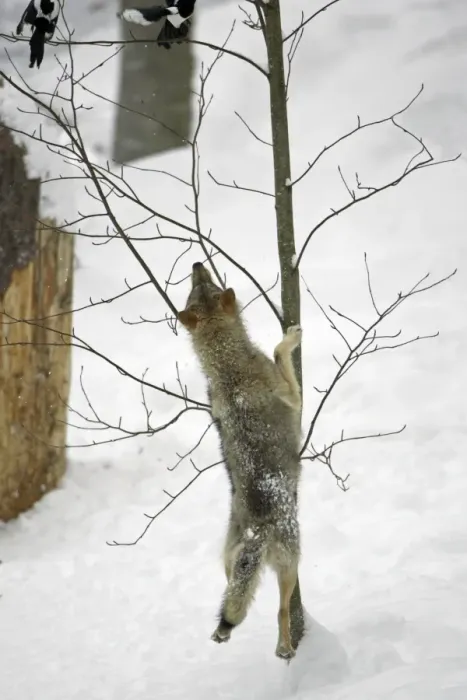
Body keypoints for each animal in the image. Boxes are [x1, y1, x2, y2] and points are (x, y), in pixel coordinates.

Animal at [178, 262, 302, 659]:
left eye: (202, 285)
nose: (196, 264)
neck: (227, 366)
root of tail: (256, 530)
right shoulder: (294, 396)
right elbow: (279, 351)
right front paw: (291, 336)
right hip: (292, 564)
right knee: (281, 611)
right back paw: (284, 649)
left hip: (226, 562)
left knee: (234, 599)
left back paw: (224, 634)